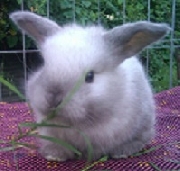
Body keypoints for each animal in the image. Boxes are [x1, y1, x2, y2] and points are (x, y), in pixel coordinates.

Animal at [9, 11, 170, 162]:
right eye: (44, 66)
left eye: (90, 76)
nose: (53, 99)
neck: (77, 123)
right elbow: (56, 146)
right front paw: (54, 157)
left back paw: (123, 152)